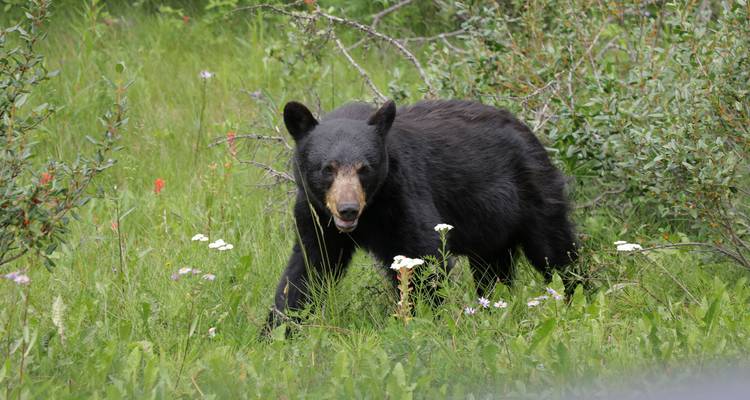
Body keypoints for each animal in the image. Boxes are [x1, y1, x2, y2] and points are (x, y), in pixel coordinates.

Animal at [263, 99, 577, 334]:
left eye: (365, 168)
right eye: (328, 168)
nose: (348, 209)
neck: (371, 211)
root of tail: (529, 132)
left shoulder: (403, 194)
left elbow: (423, 257)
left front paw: (424, 321)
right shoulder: (316, 213)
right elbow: (308, 268)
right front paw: (276, 330)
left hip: (533, 193)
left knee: (556, 252)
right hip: (491, 226)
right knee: (492, 270)